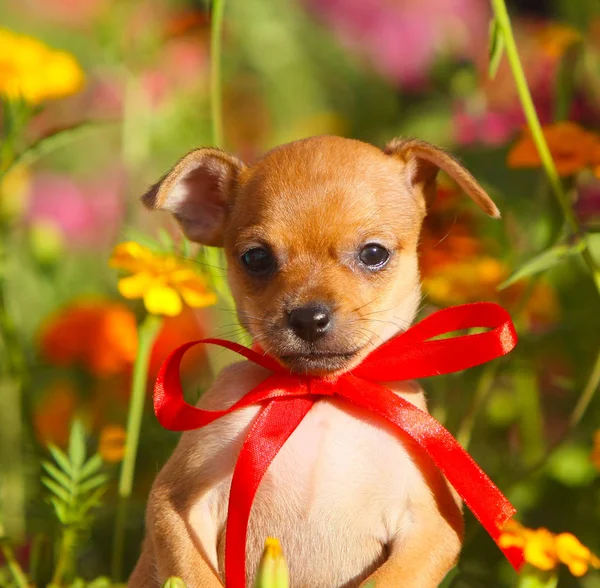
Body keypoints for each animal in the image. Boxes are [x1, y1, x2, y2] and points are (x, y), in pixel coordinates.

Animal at [129, 136, 500, 584]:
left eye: (373, 254)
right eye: (256, 258)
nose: (308, 317)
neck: (320, 397)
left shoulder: (431, 526)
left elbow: (389, 579)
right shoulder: (177, 503)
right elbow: (193, 574)